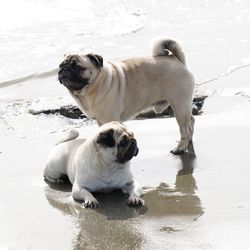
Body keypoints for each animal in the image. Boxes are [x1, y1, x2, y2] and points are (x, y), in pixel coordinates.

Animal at [58, 38, 195, 154]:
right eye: (60, 66)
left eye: (77, 67)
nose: (64, 70)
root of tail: (176, 59)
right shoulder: (101, 121)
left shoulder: (110, 118)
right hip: (182, 106)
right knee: (191, 121)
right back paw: (189, 141)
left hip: (179, 105)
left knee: (184, 129)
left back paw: (181, 147)